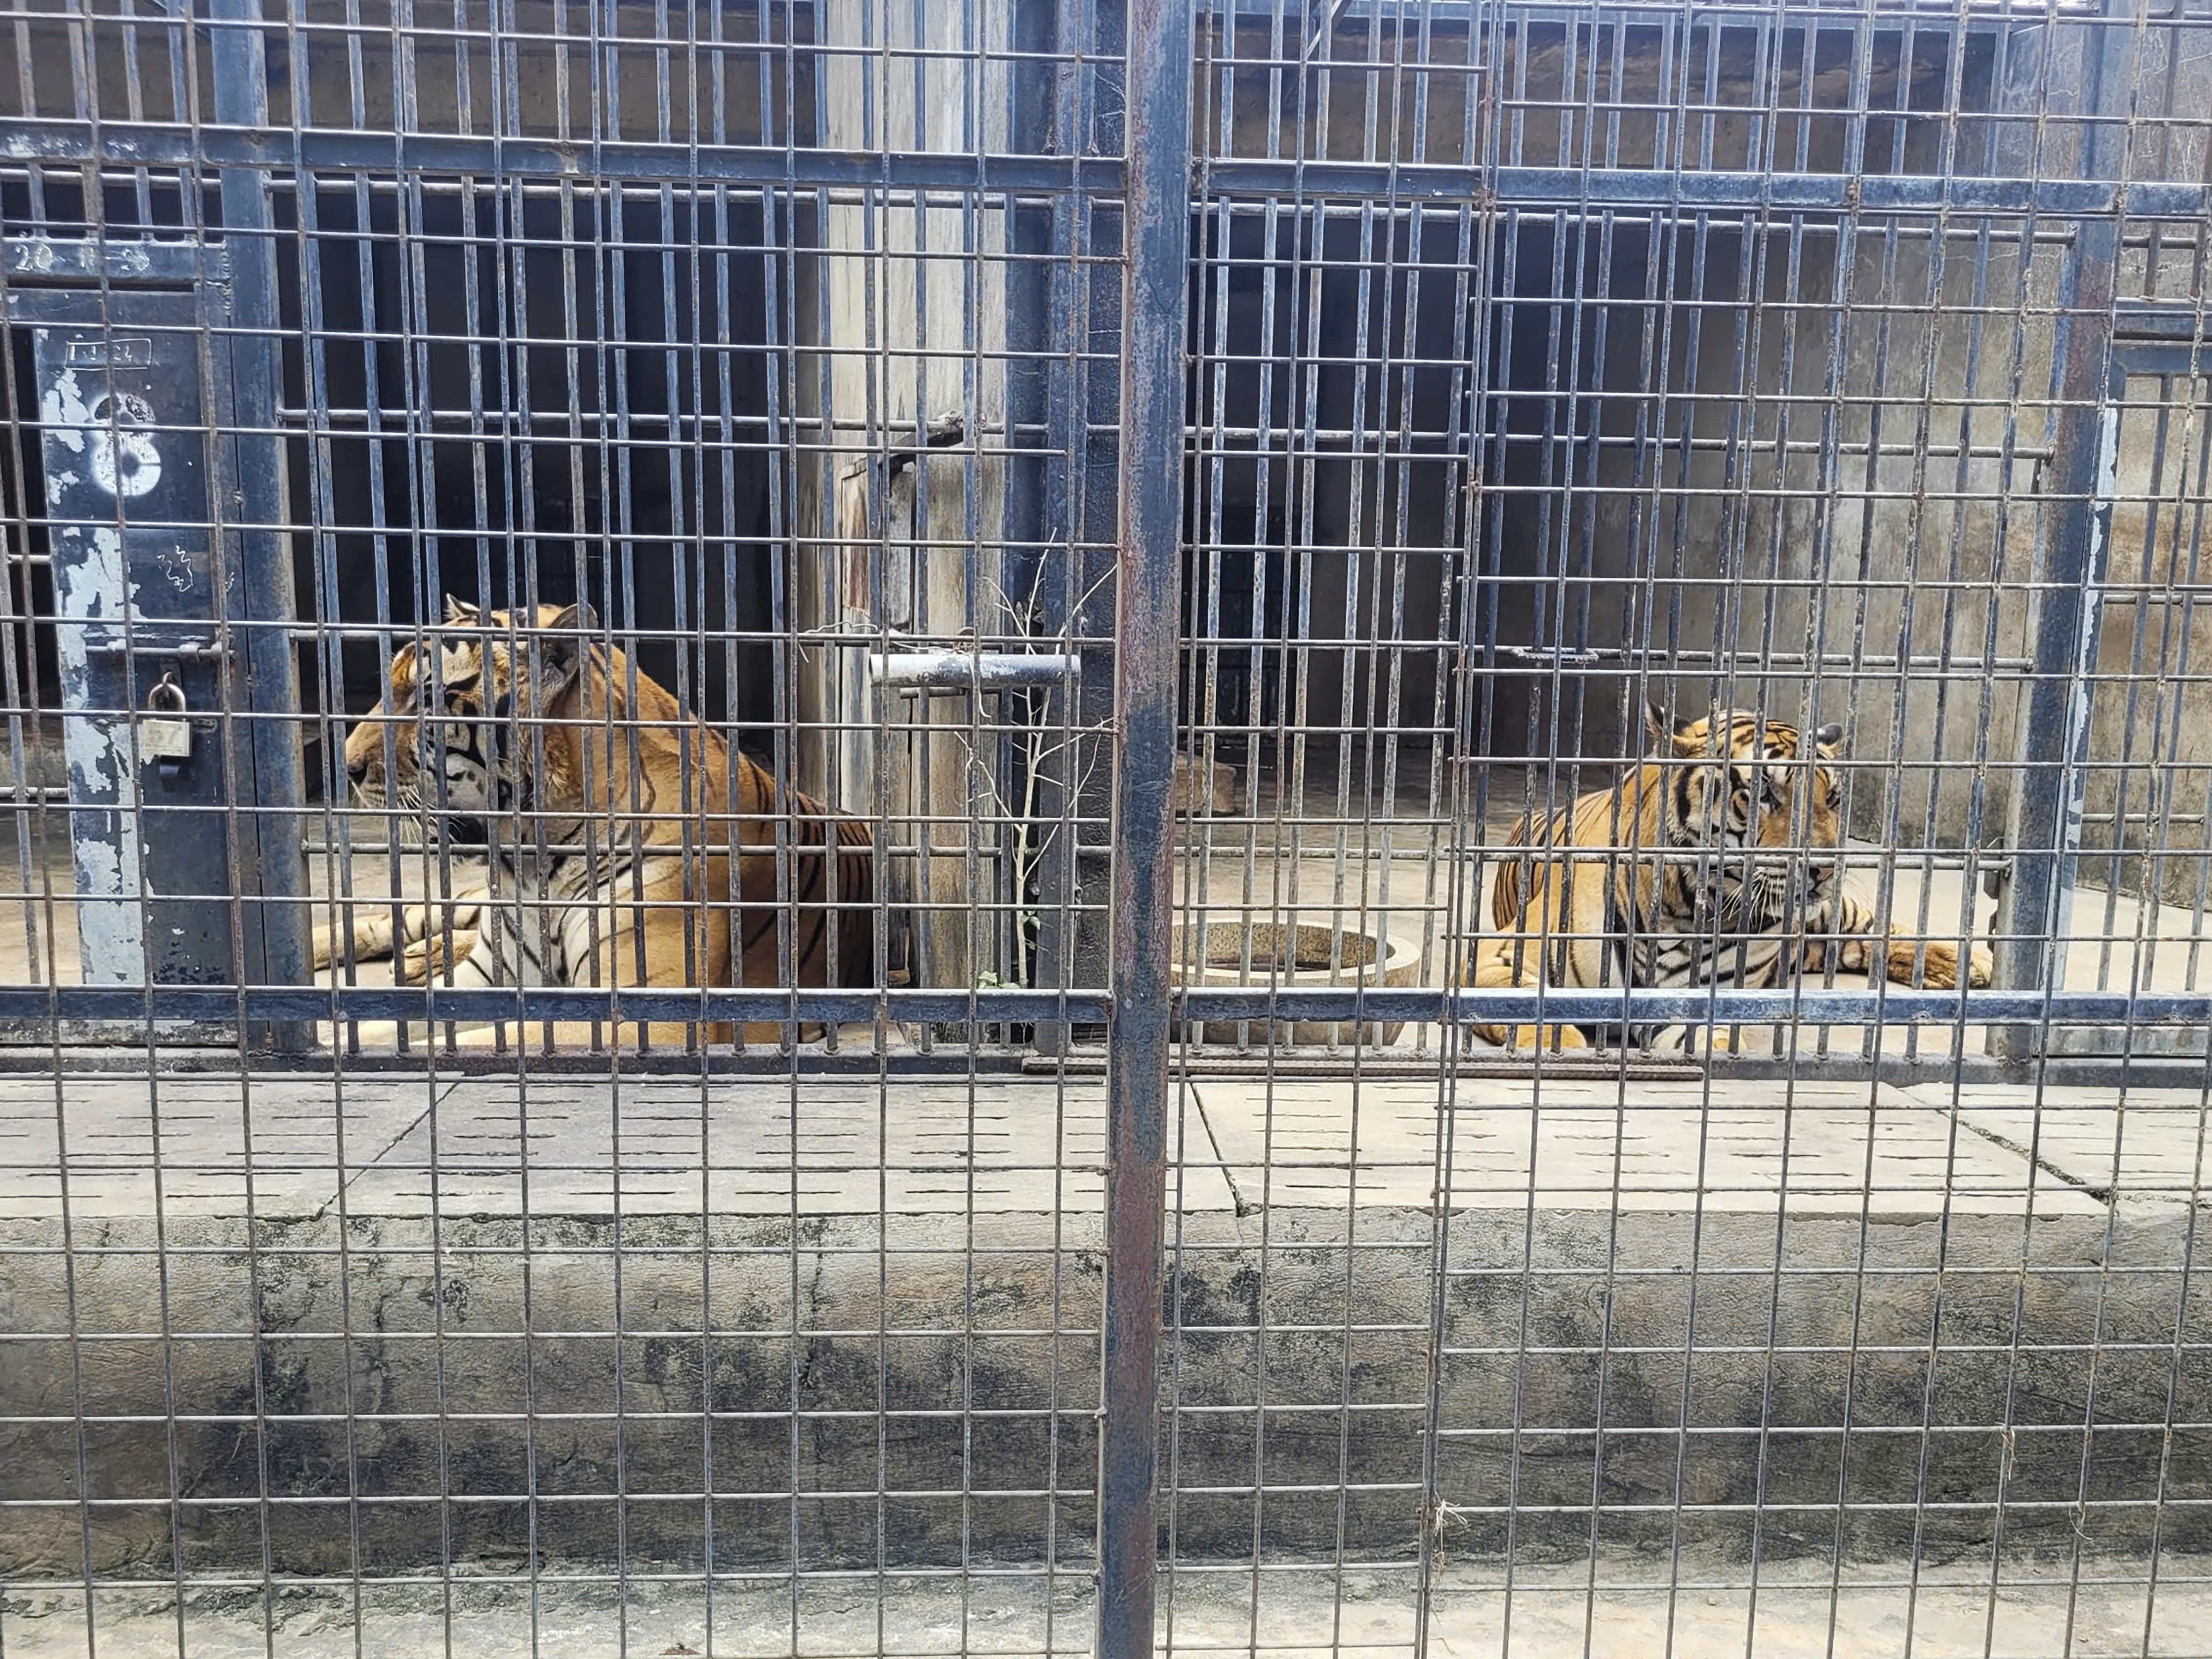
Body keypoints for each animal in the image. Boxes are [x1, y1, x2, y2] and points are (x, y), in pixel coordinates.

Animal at [1460, 712, 1999, 1053]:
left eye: (1833, 798)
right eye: (1764, 794)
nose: (1825, 867)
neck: (1687, 906)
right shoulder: (1499, 958)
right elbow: (1534, 1013)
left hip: (1834, 913)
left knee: (1878, 930)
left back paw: (1974, 964)